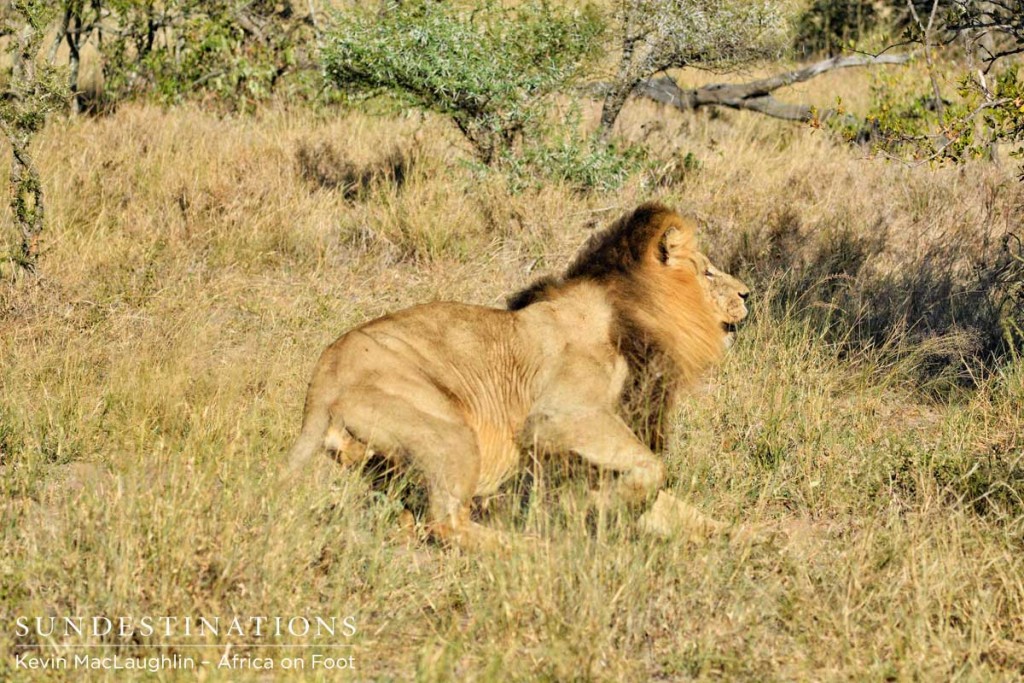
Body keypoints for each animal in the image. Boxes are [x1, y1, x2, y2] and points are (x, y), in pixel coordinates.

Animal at [284, 200, 749, 548]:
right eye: (708, 271)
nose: (748, 293)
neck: (631, 313)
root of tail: (321, 380)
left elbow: (674, 504)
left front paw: (741, 536)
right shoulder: (560, 416)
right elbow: (653, 470)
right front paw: (595, 511)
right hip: (450, 431)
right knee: (446, 522)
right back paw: (528, 548)